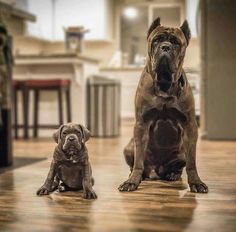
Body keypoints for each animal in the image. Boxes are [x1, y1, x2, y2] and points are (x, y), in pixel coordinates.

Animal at [119, 17, 207, 194]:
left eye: (176, 42)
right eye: (156, 40)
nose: (165, 47)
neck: (164, 83)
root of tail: (155, 171)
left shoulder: (190, 126)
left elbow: (192, 162)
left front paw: (196, 182)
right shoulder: (141, 124)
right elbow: (138, 161)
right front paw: (132, 181)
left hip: (181, 153)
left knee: (180, 166)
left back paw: (172, 175)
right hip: (129, 147)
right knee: (136, 162)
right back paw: (136, 174)